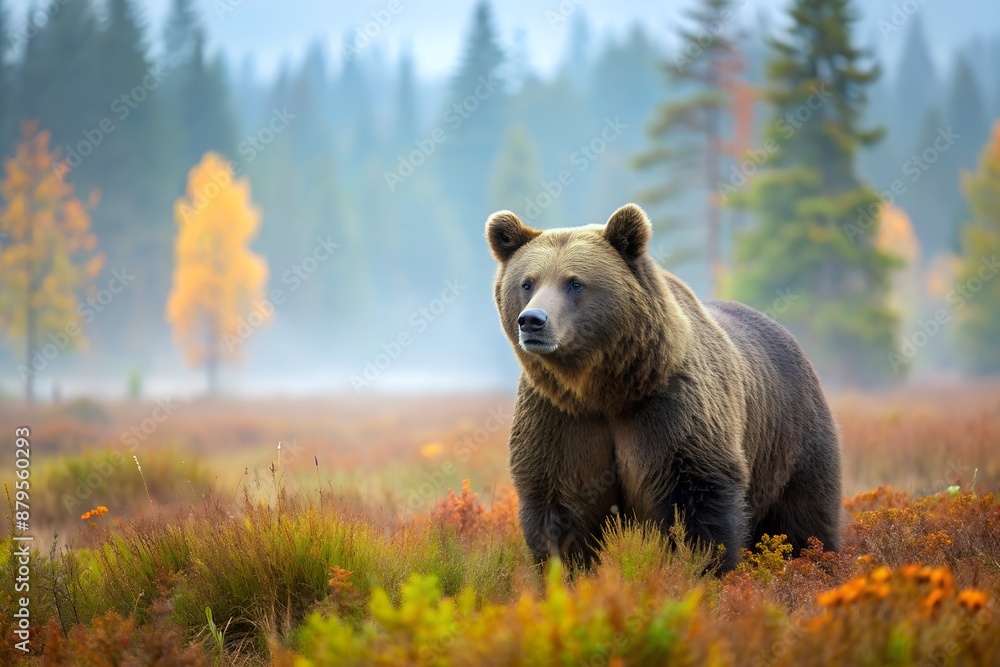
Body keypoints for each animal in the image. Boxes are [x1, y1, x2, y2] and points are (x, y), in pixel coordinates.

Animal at [485, 202, 842, 572]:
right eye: (527, 283)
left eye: (575, 283)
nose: (532, 320)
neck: (603, 388)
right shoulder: (561, 418)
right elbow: (560, 509)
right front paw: (564, 571)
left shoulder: (673, 409)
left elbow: (698, 506)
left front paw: (703, 568)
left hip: (791, 439)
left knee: (803, 519)